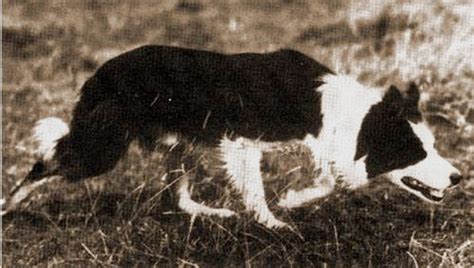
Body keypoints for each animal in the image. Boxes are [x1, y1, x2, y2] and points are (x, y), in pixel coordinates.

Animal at [3, 46, 462, 228]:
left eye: (434, 146)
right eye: (416, 152)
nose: (458, 178)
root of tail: (100, 72)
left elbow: (330, 180)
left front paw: (293, 199)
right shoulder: (240, 141)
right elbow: (258, 192)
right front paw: (274, 221)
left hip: (180, 143)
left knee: (178, 195)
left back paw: (211, 212)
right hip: (103, 147)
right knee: (45, 163)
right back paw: (10, 204)